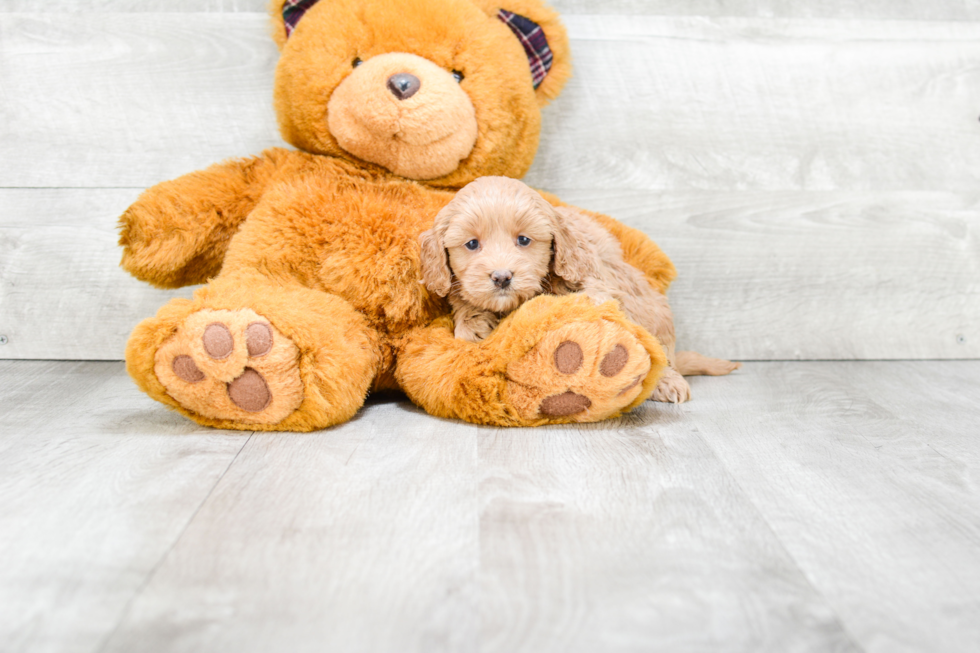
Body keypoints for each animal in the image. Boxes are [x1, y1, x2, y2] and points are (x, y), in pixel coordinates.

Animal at [418, 176, 740, 404]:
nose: (501, 277)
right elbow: (466, 313)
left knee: (661, 356)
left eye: (523, 240)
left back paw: (667, 382)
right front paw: (474, 329)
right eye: (472, 244)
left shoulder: (593, 282)